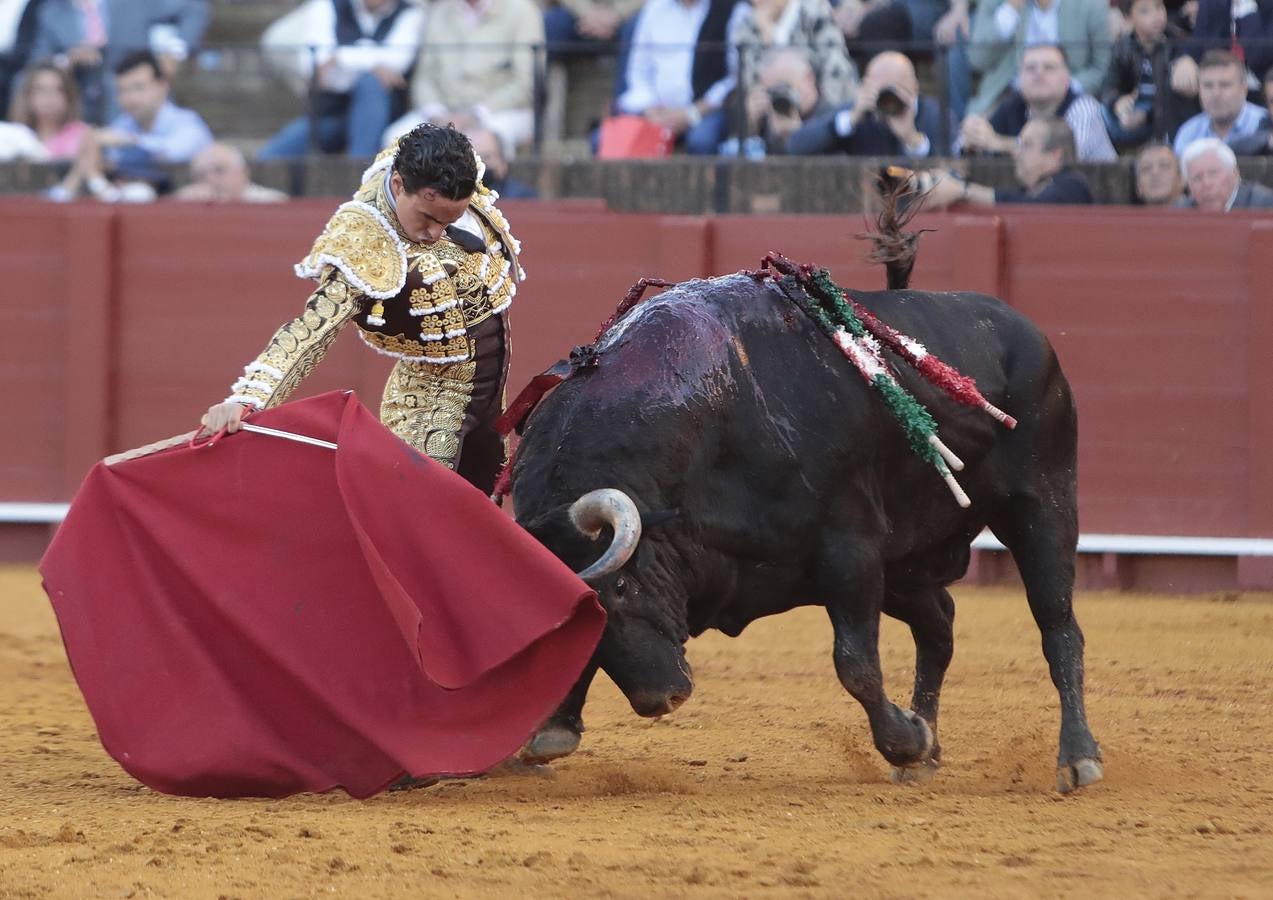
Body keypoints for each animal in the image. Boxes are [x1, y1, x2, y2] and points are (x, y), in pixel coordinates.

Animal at [506, 274, 1104, 794]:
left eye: (624, 586)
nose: (660, 699)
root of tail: (1022, 328)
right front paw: (551, 731)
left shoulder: (850, 550)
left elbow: (855, 665)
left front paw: (903, 741)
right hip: (906, 568)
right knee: (940, 627)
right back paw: (927, 753)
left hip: (1042, 504)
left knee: (1058, 628)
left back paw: (1076, 758)